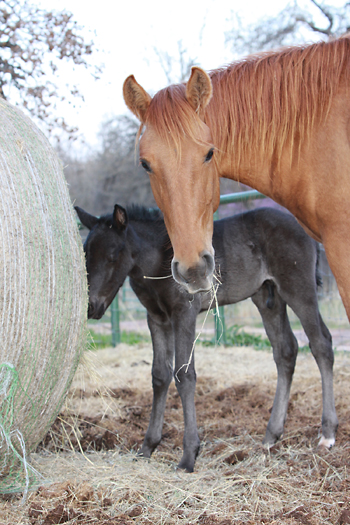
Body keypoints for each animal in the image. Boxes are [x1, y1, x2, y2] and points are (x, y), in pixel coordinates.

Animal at [76, 204, 336, 470]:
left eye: (113, 255)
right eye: (86, 255)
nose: (90, 306)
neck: (158, 261)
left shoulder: (184, 313)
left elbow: (184, 375)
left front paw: (189, 455)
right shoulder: (156, 318)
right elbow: (159, 375)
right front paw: (147, 447)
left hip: (298, 289)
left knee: (321, 343)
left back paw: (327, 434)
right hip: (266, 296)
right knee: (286, 350)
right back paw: (271, 436)